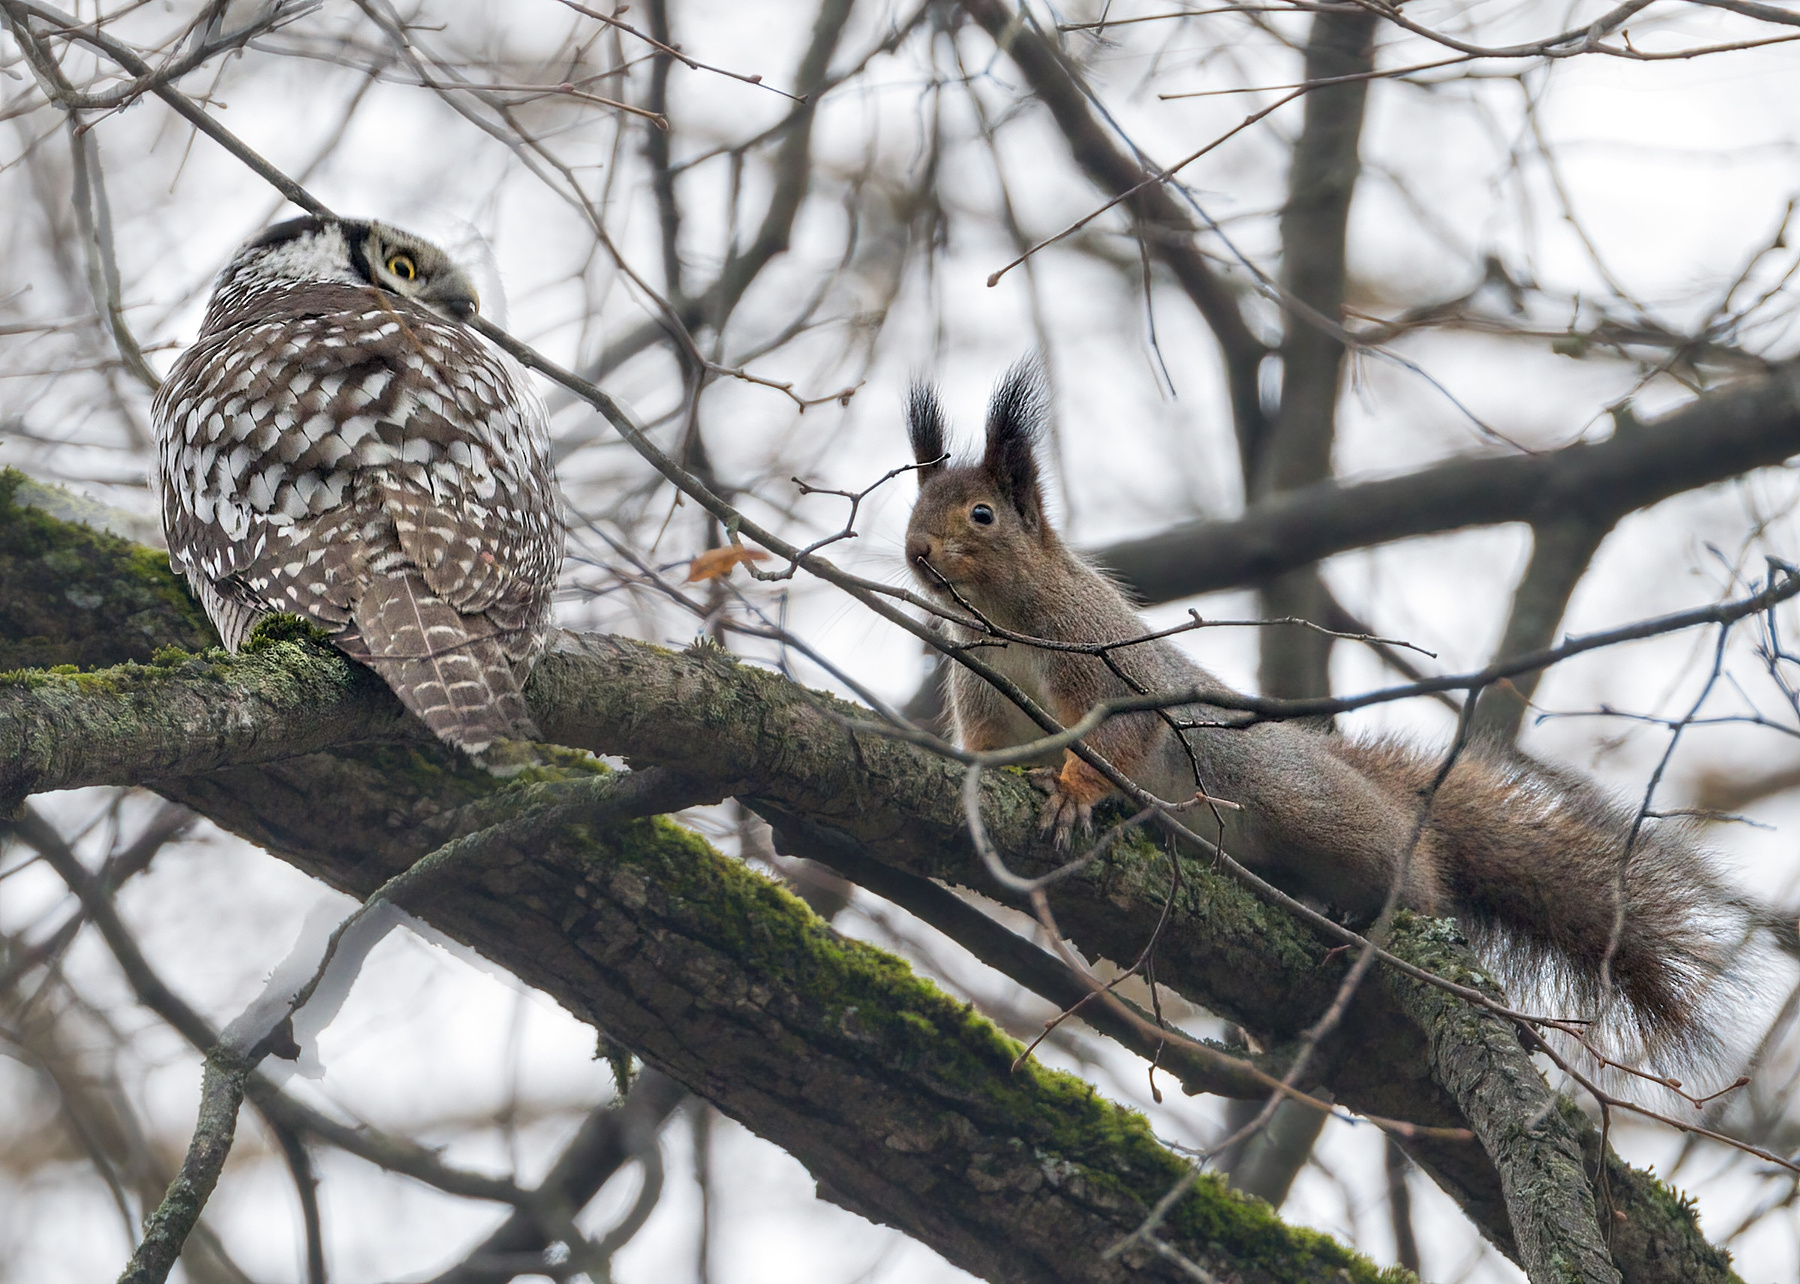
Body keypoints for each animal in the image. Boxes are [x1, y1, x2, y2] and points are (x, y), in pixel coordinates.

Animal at [902, 362, 1786, 1066]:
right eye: (913, 506)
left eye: (981, 515)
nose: (915, 551)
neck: (1000, 617)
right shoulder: (982, 690)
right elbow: (987, 743)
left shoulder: (1103, 660)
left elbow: (1119, 735)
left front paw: (1075, 792)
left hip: (1310, 809)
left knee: (1418, 877)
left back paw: (1382, 905)